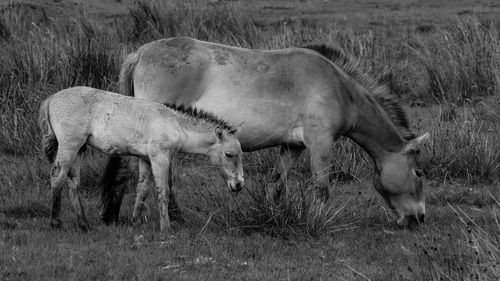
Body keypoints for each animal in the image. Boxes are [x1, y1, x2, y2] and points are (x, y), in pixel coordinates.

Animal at [38, 86, 242, 231]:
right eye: (229, 154)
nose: (239, 184)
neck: (174, 123)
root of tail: (51, 99)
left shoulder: (145, 159)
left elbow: (142, 189)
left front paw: (135, 222)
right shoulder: (160, 157)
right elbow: (163, 190)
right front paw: (166, 228)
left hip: (80, 149)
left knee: (73, 181)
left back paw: (84, 225)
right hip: (69, 145)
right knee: (57, 175)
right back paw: (55, 222)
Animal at [100, 36, 430, 225]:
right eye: (419, 173)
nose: (419, 218)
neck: (338, 88)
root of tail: (140, 54)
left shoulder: (293, 147)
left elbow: (276, 184)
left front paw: (271, 215)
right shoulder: (320, 144)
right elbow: (322, 188)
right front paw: (319, 221)